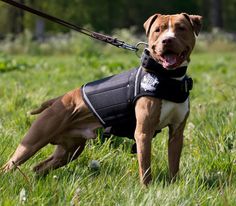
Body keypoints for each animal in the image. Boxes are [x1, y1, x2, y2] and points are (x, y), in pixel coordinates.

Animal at [1, 13, 201, 186]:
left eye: (181, 28)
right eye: (158, 30)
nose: (167, 40)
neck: (168, 77)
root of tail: (57, 100)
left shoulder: (176, 133)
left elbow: (174, 164)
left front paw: (174, 186)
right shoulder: (143, 133)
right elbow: (145, 168)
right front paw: (147, 189)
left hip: (69, 150)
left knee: (39, 167)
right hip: (32, 142)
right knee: (10, 165)